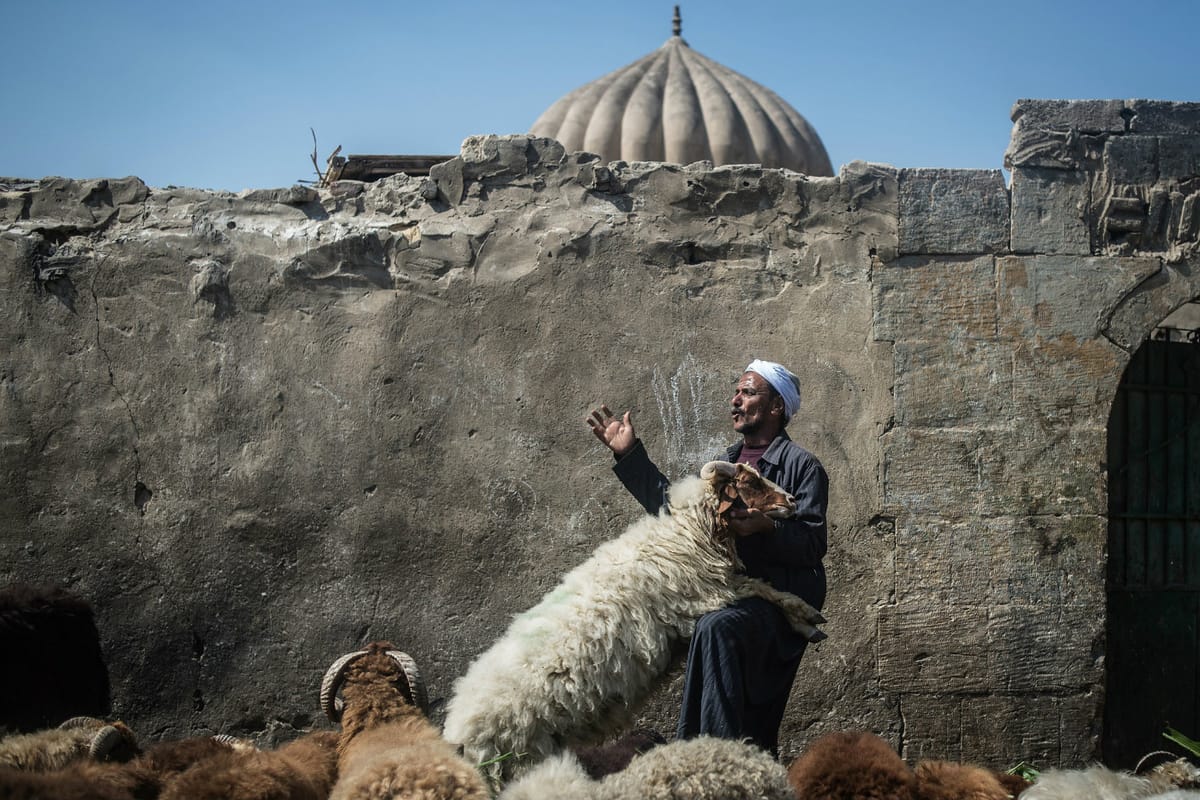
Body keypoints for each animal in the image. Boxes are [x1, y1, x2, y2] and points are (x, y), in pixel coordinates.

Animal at [441, 460, 825, 777]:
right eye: (751, 483)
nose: (793, 501)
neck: (687, 534)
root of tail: (459, 732)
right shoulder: (707, 593)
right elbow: (765, 589)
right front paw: (806, 617)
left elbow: (762, 586)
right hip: (519, 758)